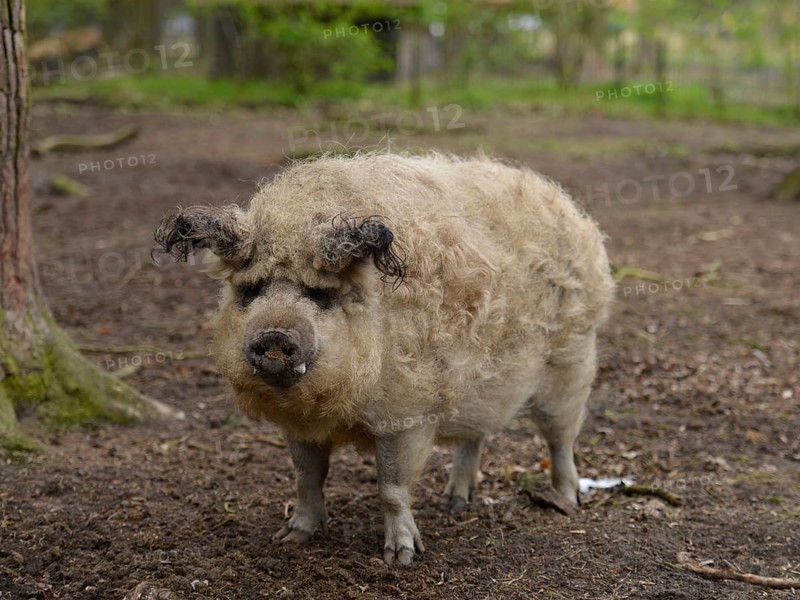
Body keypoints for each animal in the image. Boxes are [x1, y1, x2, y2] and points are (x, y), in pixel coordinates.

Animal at [154, 153, 614, 565]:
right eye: (250, 291)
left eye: (319, 295)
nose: (275, 335)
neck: (334, 405)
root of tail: (568, 208)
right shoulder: (296, 426)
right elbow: (306, 478)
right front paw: (290, 538)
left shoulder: (406, 414)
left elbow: (391, 487)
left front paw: (401, 558)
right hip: (482, 387)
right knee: (477, 435)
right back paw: (454, 504)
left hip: (573, 358)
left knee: (561, 436)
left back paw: (565, 499)